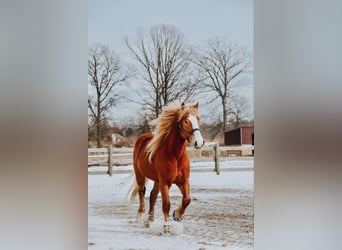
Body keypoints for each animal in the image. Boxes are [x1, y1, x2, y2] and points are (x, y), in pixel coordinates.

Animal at [130, 101, 203, 232]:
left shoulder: (183, 181)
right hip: (140, 175)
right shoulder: (165, 182)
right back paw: (141, 217)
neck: (175, 155)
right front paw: (166, 227)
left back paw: (150, 219)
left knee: (153, 195)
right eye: (186, 121)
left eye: (198, 118)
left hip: (157, 180)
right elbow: (166, 204)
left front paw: (177, 215)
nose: (199, 143)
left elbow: (187, 199)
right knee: (142, 191)